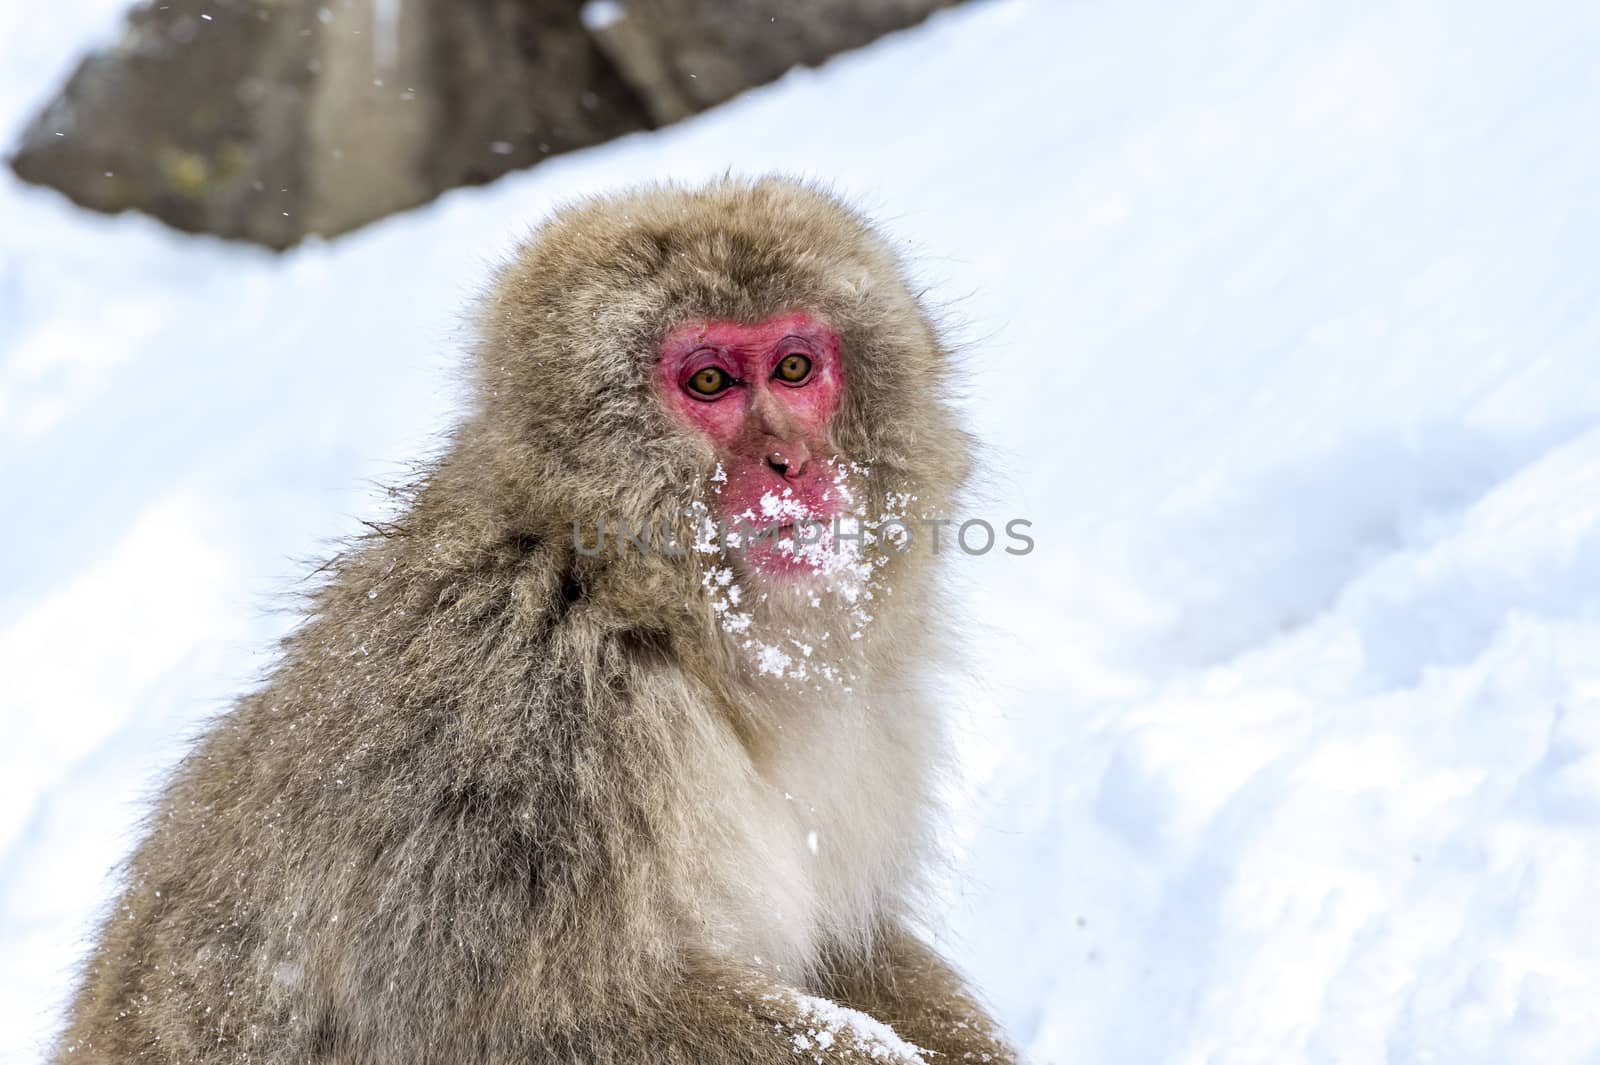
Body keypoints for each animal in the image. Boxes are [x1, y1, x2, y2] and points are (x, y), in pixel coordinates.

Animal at [62, 178, 1017, 1055]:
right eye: (710, 380)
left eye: (793, 367)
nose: (792, 460)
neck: (634, 605)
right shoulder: (519, 741)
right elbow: (533, 1019)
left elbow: (848, 952)